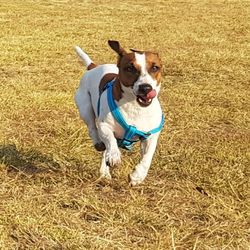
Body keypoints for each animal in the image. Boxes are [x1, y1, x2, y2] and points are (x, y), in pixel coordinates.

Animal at [74, 40, 164, 186]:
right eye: (130, 68)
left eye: (155, 67)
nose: (146, 88)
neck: (135, 106)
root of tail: (94, 67)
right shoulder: (105, 126)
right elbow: (110, 140)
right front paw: (114, 156)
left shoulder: (150, 136)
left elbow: (147, 158)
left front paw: (137, 176)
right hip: (85, 107)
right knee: (93, 129)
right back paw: (100, 146)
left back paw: (104, 172)